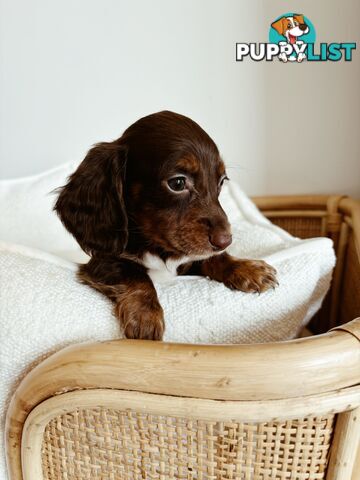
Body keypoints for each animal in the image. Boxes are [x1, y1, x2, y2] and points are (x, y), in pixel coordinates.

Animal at [54, 110, 278, 340]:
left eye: (222, 181)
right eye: (177, 183)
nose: (225, 241)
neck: (157, 247)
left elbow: (212, 258)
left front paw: (248, 269)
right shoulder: (103, 262)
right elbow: (136, 274)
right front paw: (145, 317)